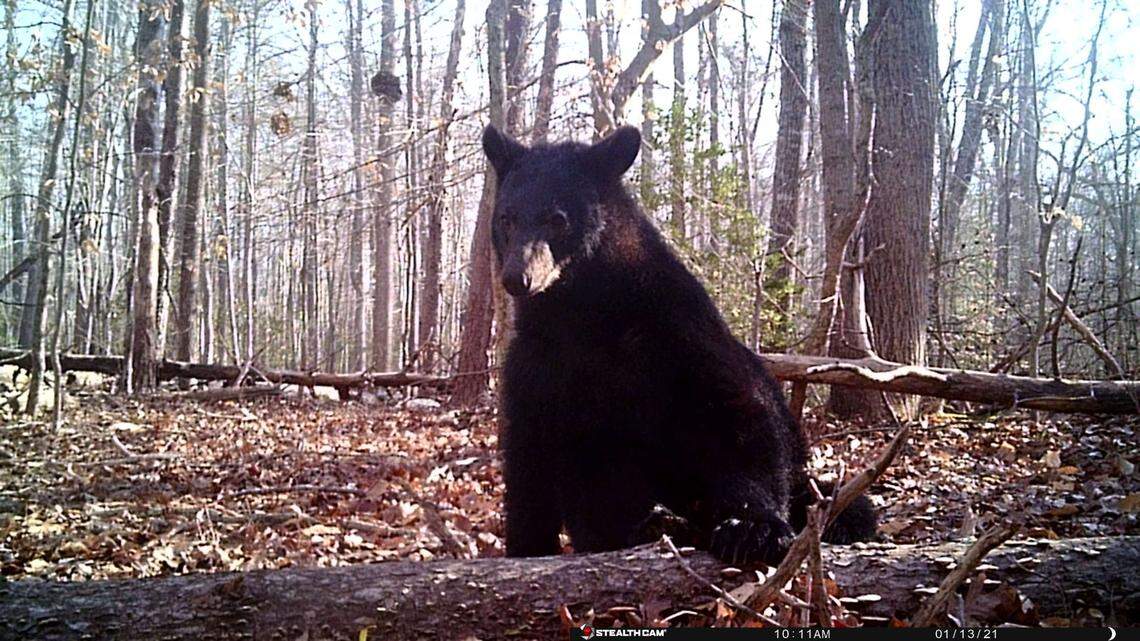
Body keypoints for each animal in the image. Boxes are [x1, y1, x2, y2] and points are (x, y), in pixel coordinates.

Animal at [483, 124, 876, 566]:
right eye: (506, 218)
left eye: (558, 219)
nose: (517, 277)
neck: (578, 314)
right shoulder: (535, 366)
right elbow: (528, 464)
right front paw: (526, 548)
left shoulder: (679, 334)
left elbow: (741, 417)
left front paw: (753, 528)